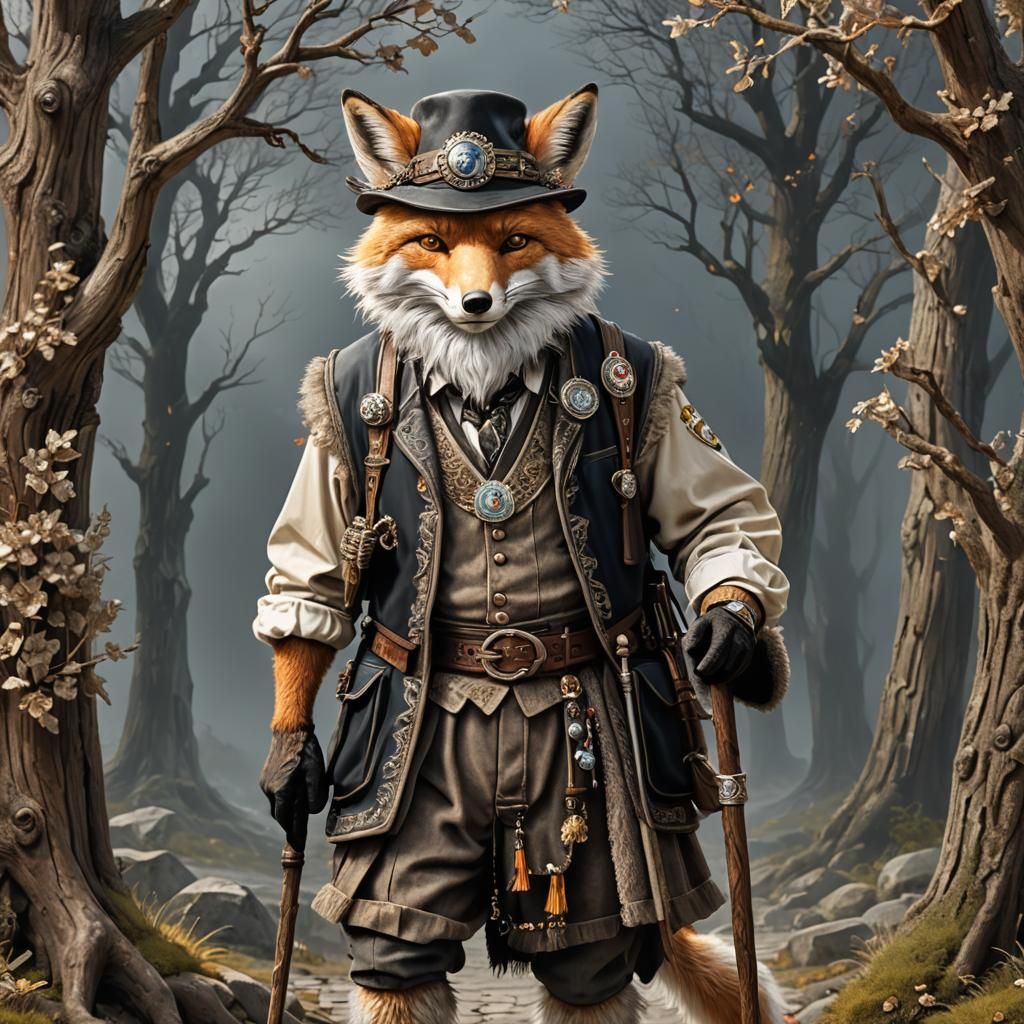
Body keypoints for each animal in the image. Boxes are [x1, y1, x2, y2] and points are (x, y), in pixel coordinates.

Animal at [327, 85, 790, 1024]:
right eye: (431, 242)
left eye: (514, 241)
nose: (475, 306)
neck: (484, 381)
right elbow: (307, 584)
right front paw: (289, 771)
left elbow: (725, 518)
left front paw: (727, 632)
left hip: (591, 863)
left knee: (589, 966)